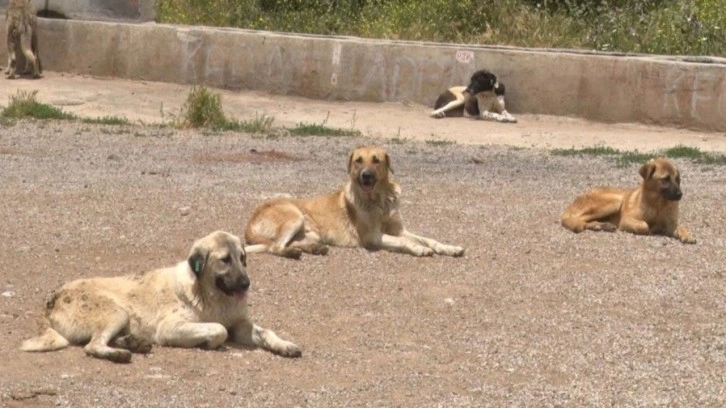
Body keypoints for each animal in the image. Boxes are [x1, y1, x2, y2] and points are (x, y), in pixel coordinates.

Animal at [20, 231, 302, 362]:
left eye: (243, 258)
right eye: (225, 260)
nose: (246, 283)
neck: (212, 297)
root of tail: (51, 301)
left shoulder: (242, 327)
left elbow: (267, 333)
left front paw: (285, 345)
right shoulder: (170, 328)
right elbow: (219, 329)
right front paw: (209, 341)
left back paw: (132, 343)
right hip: (116, 312)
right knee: (92, 346)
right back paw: (120, 353)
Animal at [245, 147, 466, 258]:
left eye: (376, 160)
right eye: (358, 160)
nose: (366, 176)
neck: (379, 200)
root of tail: (250, 221)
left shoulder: (399, 230)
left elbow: (429, 239)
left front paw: (449, 248)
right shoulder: (373, 237)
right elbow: (407, 242)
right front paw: (419, 249)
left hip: (311, 233)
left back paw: (313, 249)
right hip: (295, 217)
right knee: (275, 247)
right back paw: (292, 253)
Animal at [560, 158, 696, 244]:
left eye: (678, 180)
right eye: (665, 179)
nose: (680, 195)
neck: (658, 204)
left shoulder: (671, 225)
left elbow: (681, 227)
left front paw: (687, 235)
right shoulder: (626, 220)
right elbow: (645, 225)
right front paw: (651, 228)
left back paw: (602, 226)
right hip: (615, 201)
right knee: (578, 219)